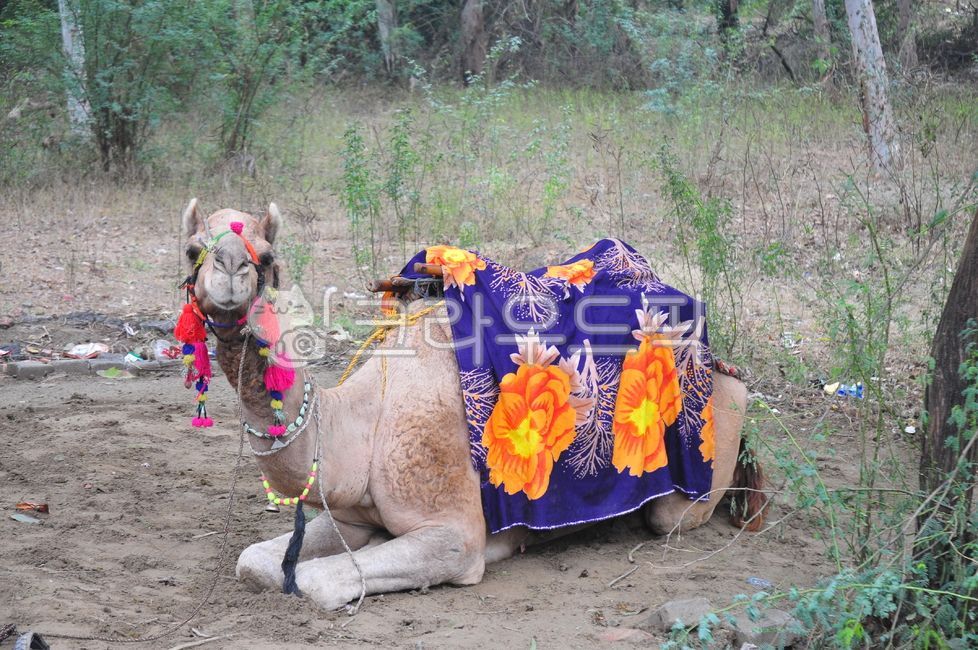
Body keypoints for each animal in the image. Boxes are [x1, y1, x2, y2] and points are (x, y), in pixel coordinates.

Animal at [179, 199, 764, 611]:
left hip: (698, 463)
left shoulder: (453, 531)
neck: (362, 425)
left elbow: (315, 580)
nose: (230, 268)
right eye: (192, 249)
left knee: (675, 513)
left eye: (267, 257)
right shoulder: (352, 518)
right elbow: (253, 561)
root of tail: (725, 367)